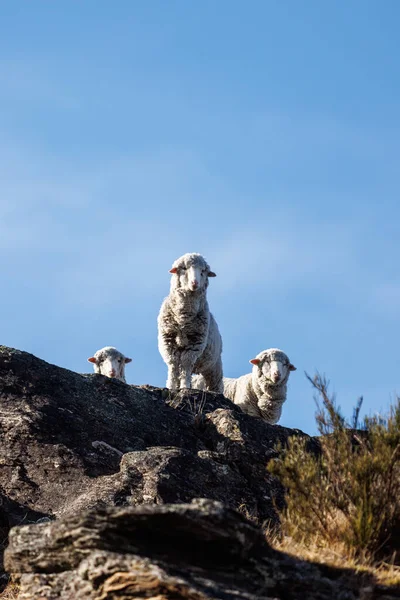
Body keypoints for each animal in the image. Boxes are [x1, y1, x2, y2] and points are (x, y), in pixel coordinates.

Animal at [158, 251, 223, 392]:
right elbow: (173, 364)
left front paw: (184, 387)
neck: (183, 318)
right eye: (184, 268)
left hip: (214, 365)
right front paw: (171, 386)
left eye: (203, 271)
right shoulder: (168, 341)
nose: (194, 283)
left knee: (215, 383)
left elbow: (186, 363)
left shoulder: (195, 344)